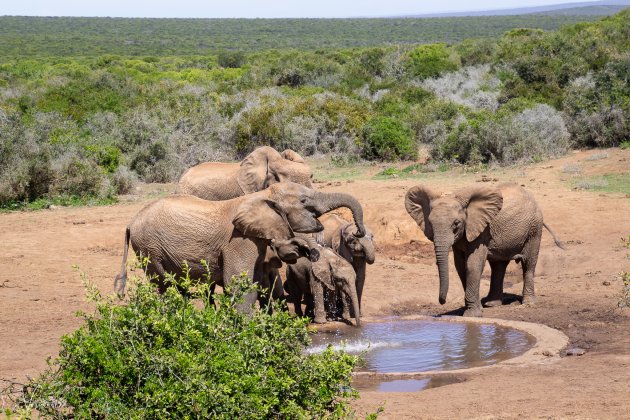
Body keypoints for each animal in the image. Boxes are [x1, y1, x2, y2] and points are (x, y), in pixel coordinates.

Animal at [116, 180, 368, 312]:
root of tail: (130, 222)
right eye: (304, 201)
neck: (261, 196)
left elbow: (261, 285)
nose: (358, 231)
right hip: (150, 248)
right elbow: (240, 286)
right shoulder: (240, 239)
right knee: (164, 286)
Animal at [408, 182, 564, 316]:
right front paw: (473, 309)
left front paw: (472, 315)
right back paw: (491, 304)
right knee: (498, 266)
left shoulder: (482, 231)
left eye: (456, 224)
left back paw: (528, 303)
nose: (442, 301)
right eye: (430, 223)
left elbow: (473, 264)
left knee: (529, 263)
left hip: (534, 229)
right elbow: (460, 266)